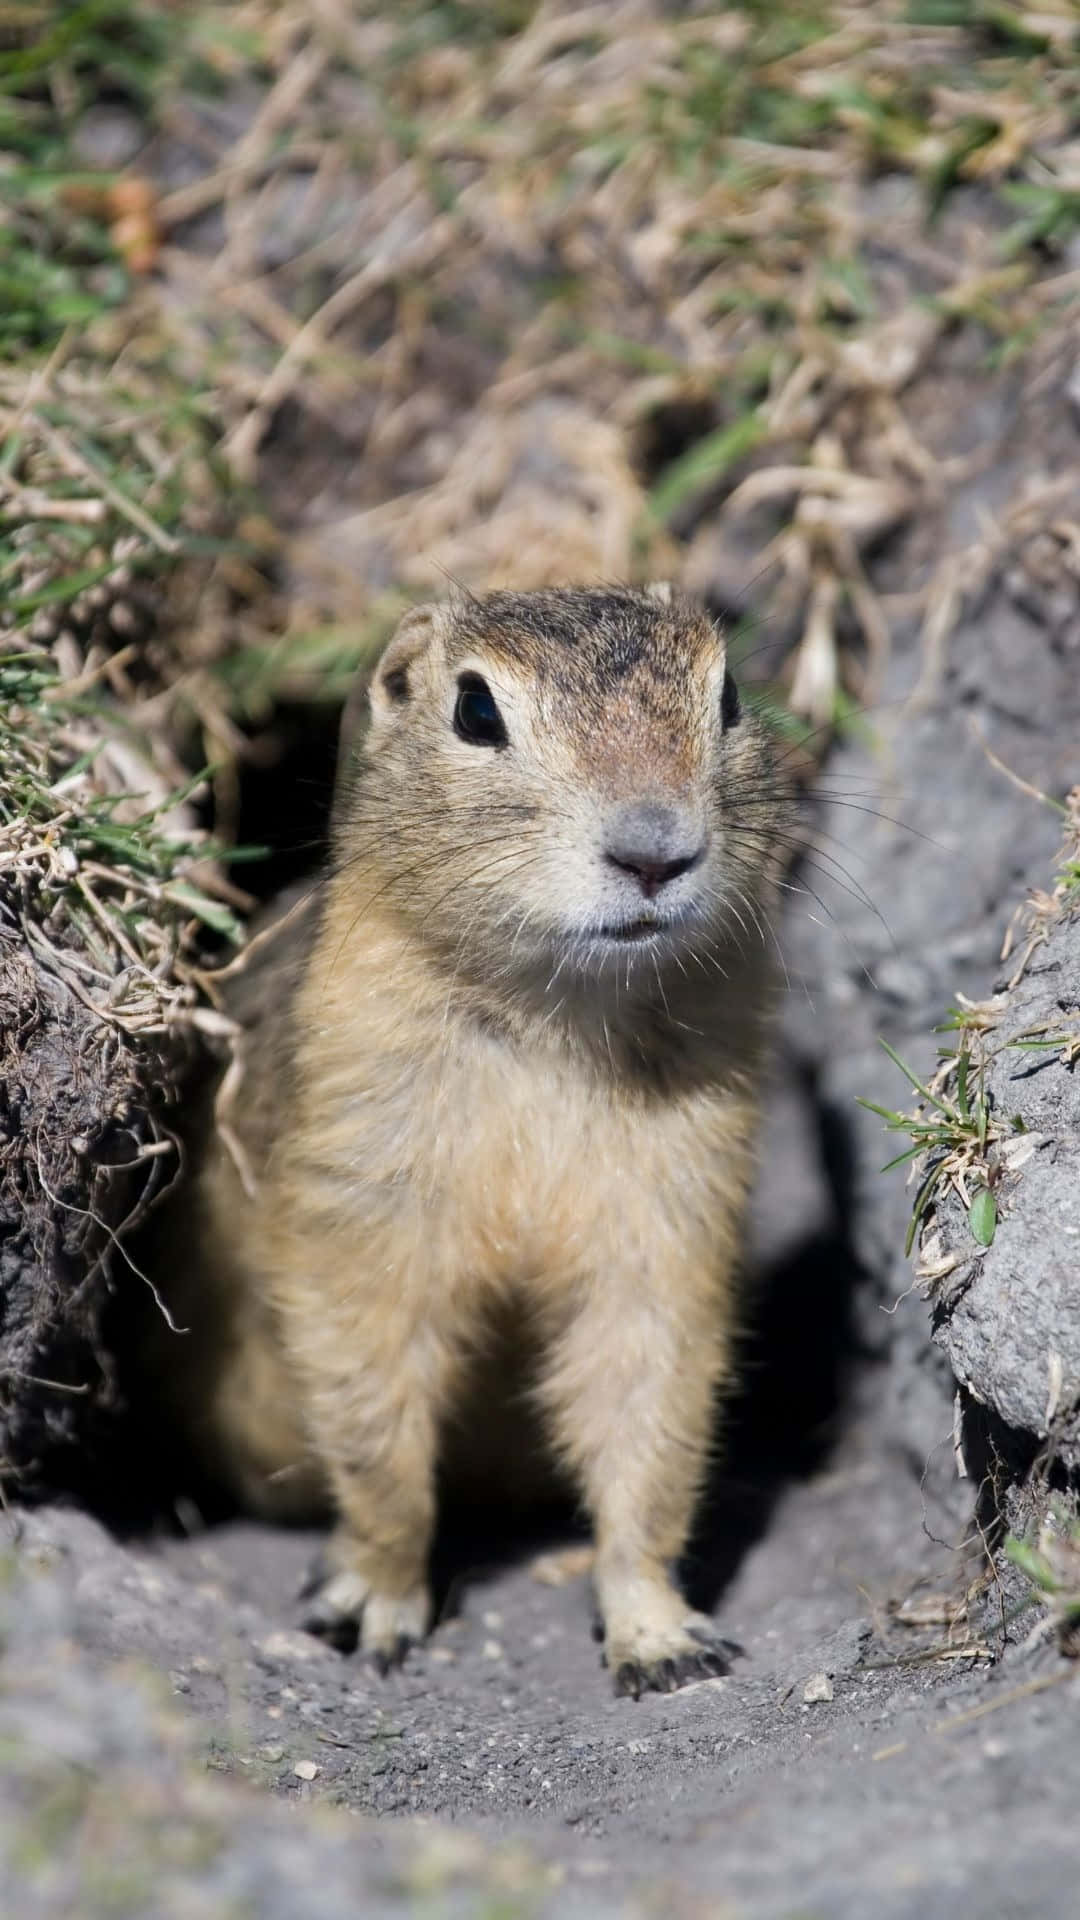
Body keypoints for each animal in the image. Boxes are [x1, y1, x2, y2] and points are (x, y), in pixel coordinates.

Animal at [159, 579, 787, 1697]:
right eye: (476, 710)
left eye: (730, 697)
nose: (655, 849)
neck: (556, 1017)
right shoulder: (362, 1200)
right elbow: (376, 1413)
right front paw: (373, 1604)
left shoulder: (670, 1220)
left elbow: (650, 1412)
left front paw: (661, 1636)